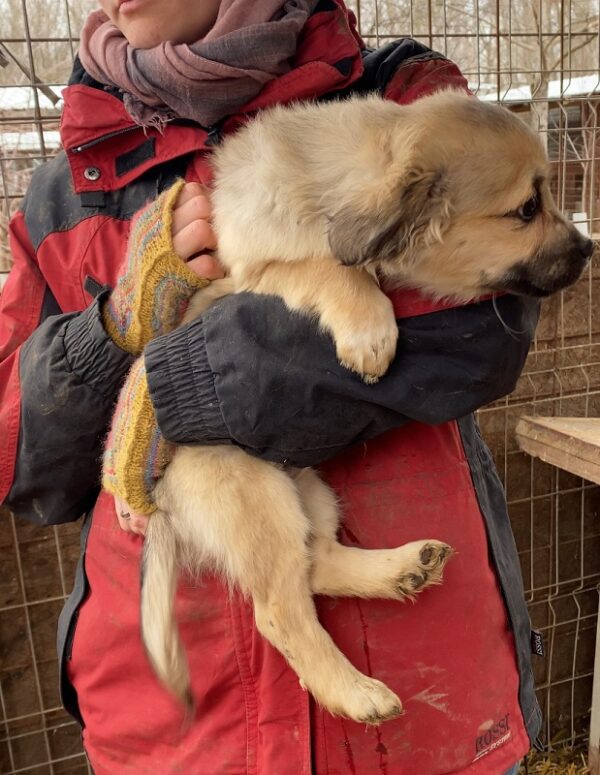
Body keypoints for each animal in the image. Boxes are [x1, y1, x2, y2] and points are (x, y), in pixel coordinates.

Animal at [138, 91, 592, 728]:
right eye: (527, 209)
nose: (589, 249)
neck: (320, 186)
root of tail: (162, 504)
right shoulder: (246, 275)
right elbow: (324, 265)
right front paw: (370, 329)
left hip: (309, 489)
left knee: (317, 564)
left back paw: (402, 568)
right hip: (256, 495)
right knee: (279, 610)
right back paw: (354, 692)